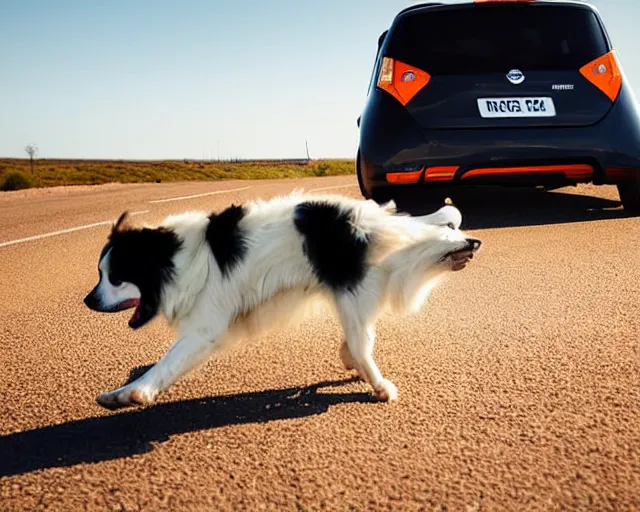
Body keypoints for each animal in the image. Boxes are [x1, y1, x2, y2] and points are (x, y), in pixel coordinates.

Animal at [84, 190, 480, 410]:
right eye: (100, 273)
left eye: (114, 277)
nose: (87, 301)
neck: (174, 257)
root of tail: (359, 213)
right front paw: (120, 394)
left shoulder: (204, 329)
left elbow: (163, 365)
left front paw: (133, 393)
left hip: (352, 287)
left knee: (363, 338)